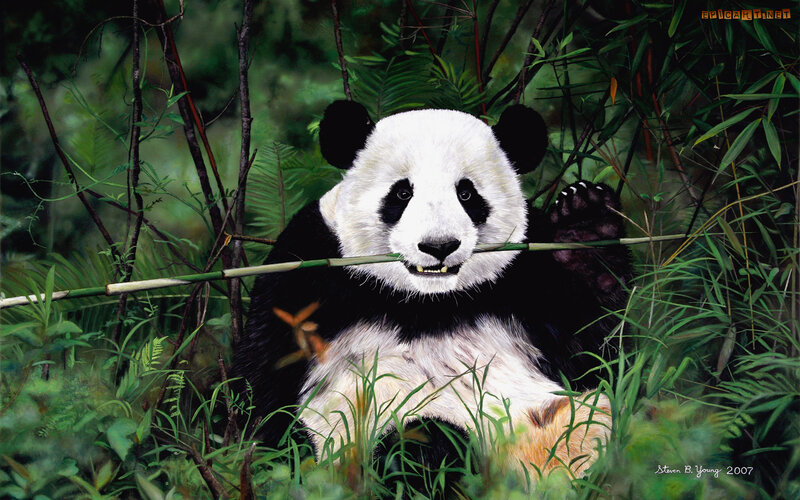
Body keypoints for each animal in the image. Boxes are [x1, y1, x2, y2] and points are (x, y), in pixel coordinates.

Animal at [233, 100, 631, 487]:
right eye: (402, 193)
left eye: (467, 193)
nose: (439, 246)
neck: (428, 301)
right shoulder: (308, 268)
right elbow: (266, 379)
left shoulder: (525, 279)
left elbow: (594, 350)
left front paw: (585, 224)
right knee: (419, 441)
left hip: (567, 423)